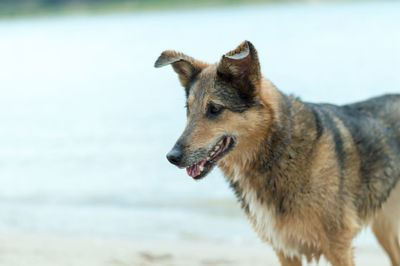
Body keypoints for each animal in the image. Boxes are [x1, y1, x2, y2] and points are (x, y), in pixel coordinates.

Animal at [154, 40, 400, 264]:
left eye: (214, 109)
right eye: (188, 110)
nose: (172, 157)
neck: (277, 151)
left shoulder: (339, 247)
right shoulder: (285, 249)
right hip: (384, 227)